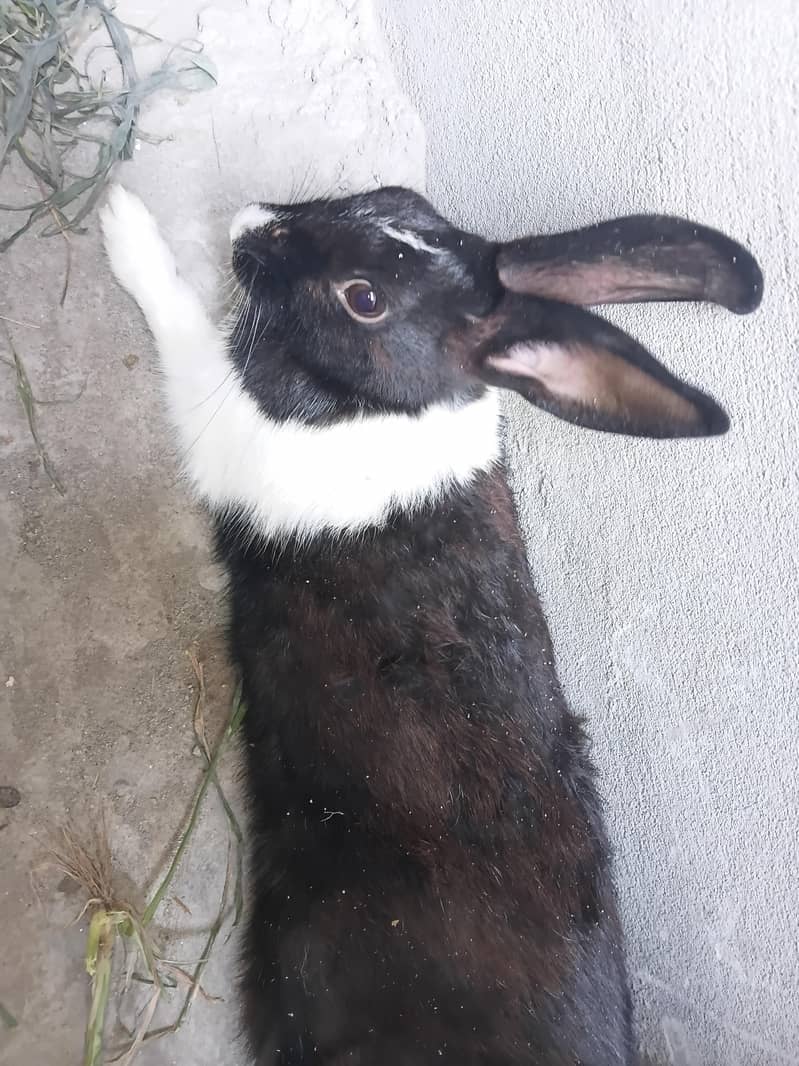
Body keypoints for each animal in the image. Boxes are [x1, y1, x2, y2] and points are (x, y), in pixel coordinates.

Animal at [101, 183, 762, 1065]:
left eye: (364, 299)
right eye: (395, 198)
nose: (251, 226)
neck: (388, 410)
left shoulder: (228, 427)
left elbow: (183, 329)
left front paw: (124, 223)